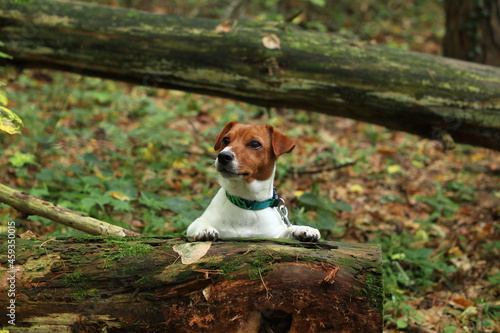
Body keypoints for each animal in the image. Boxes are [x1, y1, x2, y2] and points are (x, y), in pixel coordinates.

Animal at [187, 120, 320, 240]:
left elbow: (288, 229)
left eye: (255, 144)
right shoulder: (193, 225)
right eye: (226, 140)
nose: (223, 156)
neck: (246, 202)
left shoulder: (273, 234)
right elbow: (199, 222)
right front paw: (205, 229)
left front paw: (303, 229)